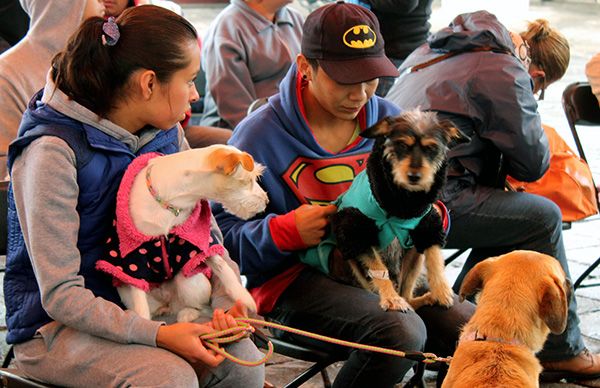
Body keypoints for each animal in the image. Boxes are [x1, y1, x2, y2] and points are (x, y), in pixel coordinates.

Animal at [96, 145, 268, 322]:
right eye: (247, 181)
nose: (266, 201)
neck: (172, 204)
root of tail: (168, 302)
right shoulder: (134, 255)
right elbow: (139, 301)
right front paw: (142, 321)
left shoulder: (196, 240)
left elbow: (221, 265)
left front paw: (243, 296)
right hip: (127, 293)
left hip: (191, 282)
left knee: (200, 308)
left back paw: (186, 314)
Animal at [330, 109, 462, 312]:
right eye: (401, 145)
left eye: (431, 148)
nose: (414, 176)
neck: (401, 205)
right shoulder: (358, 231)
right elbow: (378, 268)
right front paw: (391, 298)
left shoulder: (426, 224)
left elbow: (433, 254)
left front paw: (441, 289)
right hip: (344, 252)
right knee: (371, 283)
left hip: (414, 255)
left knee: (407, 293)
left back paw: (422, 299)